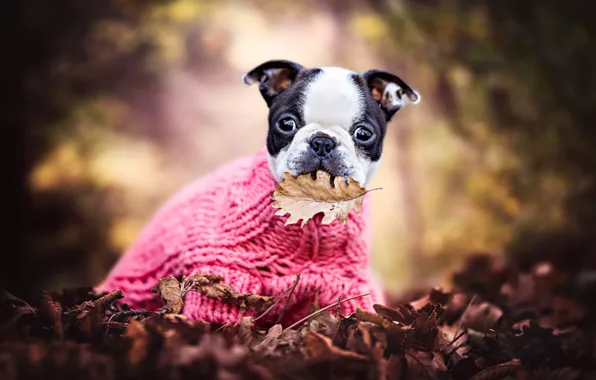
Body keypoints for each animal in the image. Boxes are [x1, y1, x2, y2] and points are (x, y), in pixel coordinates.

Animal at [94, 60, 420, 326]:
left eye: (364, 133)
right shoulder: (226, 270)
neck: (309, 207)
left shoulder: (349, 282)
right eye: (286, 124)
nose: (322, 141)